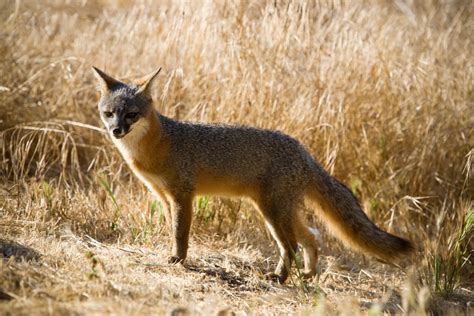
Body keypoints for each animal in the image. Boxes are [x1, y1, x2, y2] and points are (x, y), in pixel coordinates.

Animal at [91, 66, 412, 284]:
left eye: (131, 115)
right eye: (109, 114)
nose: (116, 130)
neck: (158, 146)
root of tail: (304, 152)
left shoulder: (183, 195)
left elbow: (180, 233)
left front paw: (178, 259)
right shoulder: (164, 197)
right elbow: (172, 229)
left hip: (272, 211)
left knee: (292, 245)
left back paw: (280, 278)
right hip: (283, 210)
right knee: (312, 236)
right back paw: (308, 274)